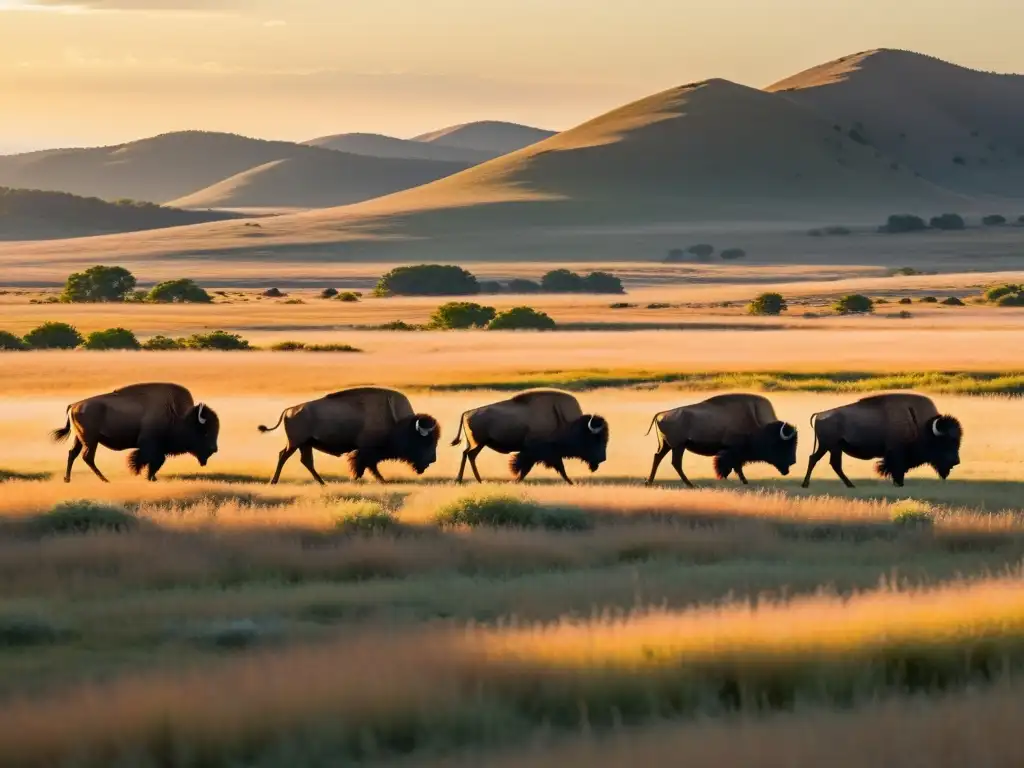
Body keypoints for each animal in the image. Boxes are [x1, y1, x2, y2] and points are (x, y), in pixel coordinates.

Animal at [51, 382, 220, 483]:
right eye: (205, 432)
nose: (214, 449)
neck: (176, 414)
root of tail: (74, 405)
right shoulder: (150, 446)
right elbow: (149, 460)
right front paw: (144, 476)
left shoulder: (157, 449)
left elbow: (156, 462)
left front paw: (152, 478)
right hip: (91, 440)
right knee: (87, 457)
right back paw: (105, 480)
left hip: (80, 439)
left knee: (73, 454)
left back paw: (67, 479)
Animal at [258, 387, 438, 483]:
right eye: (425, 441)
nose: (433, 459)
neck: (399, 422)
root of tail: (289, 410)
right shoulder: (367, 450)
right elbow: (365, 464)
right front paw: (374, 479)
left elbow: (367, 464)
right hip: (296, 443)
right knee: (283, 456)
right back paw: (274, 482)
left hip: (305, 444)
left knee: (306, 461)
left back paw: (323, 483)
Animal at [450, 391, 606, 487]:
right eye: (594, 439)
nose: (602, 458)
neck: (566, 422)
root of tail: (467, 413)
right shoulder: (538, 453)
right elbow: (528, 467)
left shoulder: (547, 454)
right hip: (478, 443)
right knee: (469, 455)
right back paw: (467, 480)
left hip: (478, 444)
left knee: (468, 455)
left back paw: (473, 480)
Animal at [643, 393, 794, 489]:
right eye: (780, 445)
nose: (792, 462)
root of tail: (662, 414)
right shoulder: (732, 451)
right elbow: (732, 466)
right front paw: (736, 479)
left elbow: (736, 466)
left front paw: (742, 480)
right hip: (678, 446)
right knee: (675, 463)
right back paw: (690, 485)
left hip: (667, 445)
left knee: (658, 458)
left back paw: (650, 482)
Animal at [802, 393, 962, 489]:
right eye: (945, 442)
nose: (956, 461)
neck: (921, 425)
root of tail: (820, 414)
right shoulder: (896, 454)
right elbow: (896, 469)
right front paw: (899, 483)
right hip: (830, 447)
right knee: (826, 462)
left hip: (831, 447)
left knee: (821, 461)